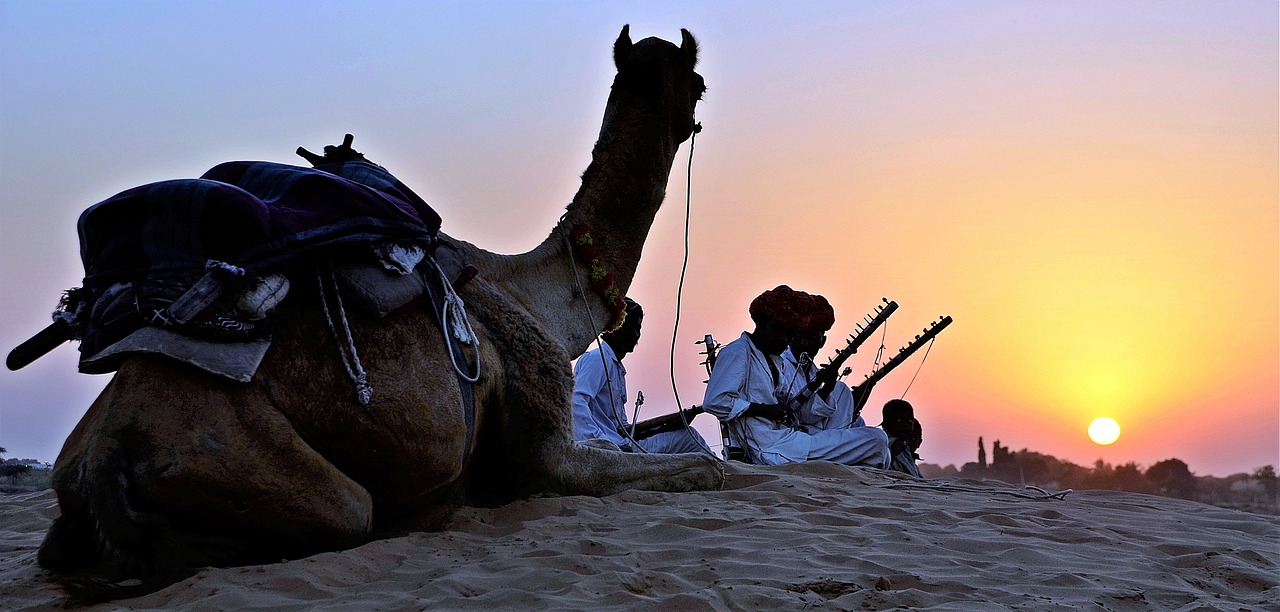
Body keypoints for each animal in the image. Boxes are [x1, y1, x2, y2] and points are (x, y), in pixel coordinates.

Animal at [37, 25, 721, 596]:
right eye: (699, 83)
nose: (696, 120)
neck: (542, 294)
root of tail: (103, 452)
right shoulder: (547, 451)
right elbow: (704, 469)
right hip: (254, 465)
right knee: (338, 515)